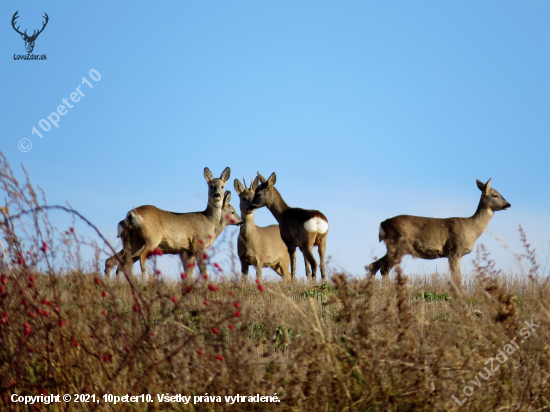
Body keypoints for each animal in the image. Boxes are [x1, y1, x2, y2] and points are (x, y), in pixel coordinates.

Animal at [104, 167, 243, 280]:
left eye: (222, 186)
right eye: (211, 185)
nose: (217, 195)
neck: (209, 221)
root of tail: (130, 214)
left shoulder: (187, 250)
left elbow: (189, 273)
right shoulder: (198, 244)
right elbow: (203, 271)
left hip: (135, 241)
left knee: (117, 261)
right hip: (152, 237)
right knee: (138, 259)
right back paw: (144, 282)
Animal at [370, 179, 512, 284]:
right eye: (495, 195)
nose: (508, 204)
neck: (472, 229)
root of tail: (383, 224)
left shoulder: (457, 254)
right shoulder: (454, 250)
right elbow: (457, 278)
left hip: (393, 246)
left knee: (375, 265)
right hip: (400, 245)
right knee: (384, 268)